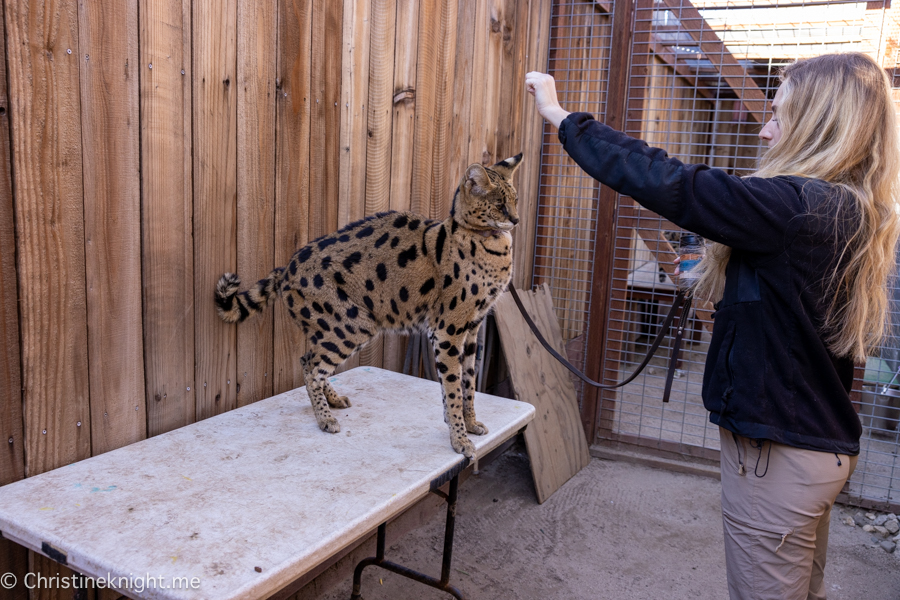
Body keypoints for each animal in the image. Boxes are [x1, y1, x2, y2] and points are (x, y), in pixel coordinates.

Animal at [216, 152, 520, 458]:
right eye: (499, 204)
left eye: (515, 200)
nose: (517, 220)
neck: (491, 242)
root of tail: (286, 268)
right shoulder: (448, 329)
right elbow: (453, 387)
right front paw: (459, 439)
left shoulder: (472, 328)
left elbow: (468, 383)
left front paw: (469, 425)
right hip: (353, 325)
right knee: (313, 366)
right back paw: (325, 418)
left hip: (330, 327)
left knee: (307, 359)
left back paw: (332, 400)